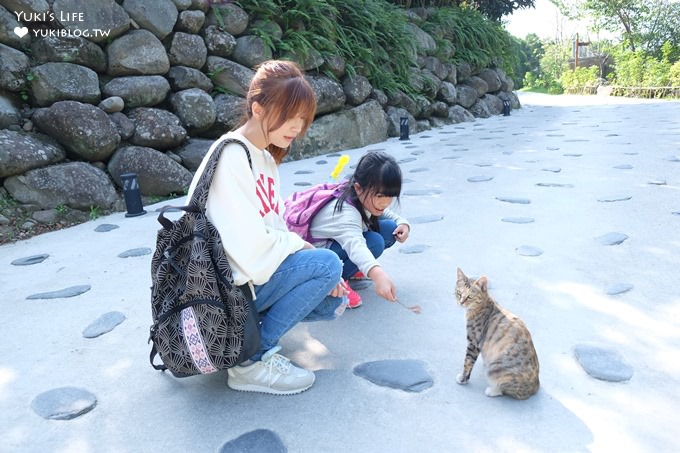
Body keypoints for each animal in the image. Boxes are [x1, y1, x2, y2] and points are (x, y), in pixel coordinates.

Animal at [454, 266, 540, 398]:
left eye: (469, 297)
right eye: (459, 293)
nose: (461, 302)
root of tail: (536, 385)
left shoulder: (473, 342)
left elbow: (467, 362)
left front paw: (463, 378)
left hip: (495, 369)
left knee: (512, 392)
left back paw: (493, 390)